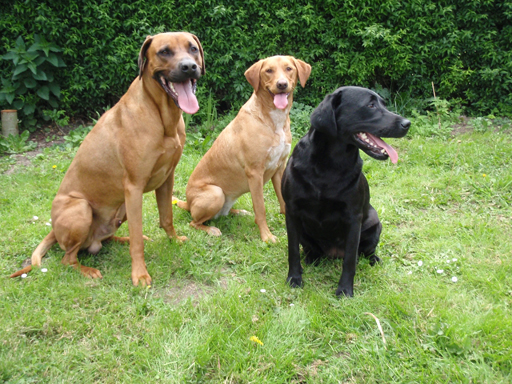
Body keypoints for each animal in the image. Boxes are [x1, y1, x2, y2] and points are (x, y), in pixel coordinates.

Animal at [10, 32, 204, 284]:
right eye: (164, 52)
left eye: (193, 49)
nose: (189, 67)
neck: (162, 116)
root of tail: (53, 229)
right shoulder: (133, 187)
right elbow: (138, 239)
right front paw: (140, 275)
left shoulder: (166, 179)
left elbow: (166, 217)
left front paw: (174, 240)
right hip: (82, 208)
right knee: (68, 258)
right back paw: (88, 270)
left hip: (120, 209)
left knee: (106, 240)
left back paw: (122, 240)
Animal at [176, 55, 312, 242]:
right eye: (268, 70)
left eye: (289, 68)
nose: (282, 84)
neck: (274, 120)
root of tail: (187, 203)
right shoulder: (255, 172)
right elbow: (260, 208)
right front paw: (266, 236)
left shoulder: (280, 168)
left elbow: (283, 201)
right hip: (215, 193)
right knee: (193, 222)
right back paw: (211, 229)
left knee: (223, 213)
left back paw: (239, 212)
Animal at [282, 86, 410, 296]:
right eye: (371, 105)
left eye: (383, 104)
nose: (407, 123)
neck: (329, 165)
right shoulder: (291, 211)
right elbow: (292, 251)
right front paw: (294, 278)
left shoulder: (353, 217)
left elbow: (350, 259)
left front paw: (344, 290)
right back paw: (311, 259)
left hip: (374, 223)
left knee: (365, 252)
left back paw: (374, 259)